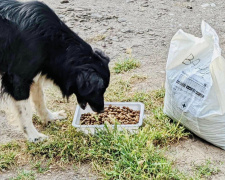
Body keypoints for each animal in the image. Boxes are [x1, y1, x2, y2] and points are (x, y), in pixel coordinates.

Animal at [0, 0, 110, 143]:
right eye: (99, 90)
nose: (102, 110)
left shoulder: (34, 73)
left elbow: (40, 99)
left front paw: (50, 117)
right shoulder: (17, 78)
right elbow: (25, 111)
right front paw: (34, 136)